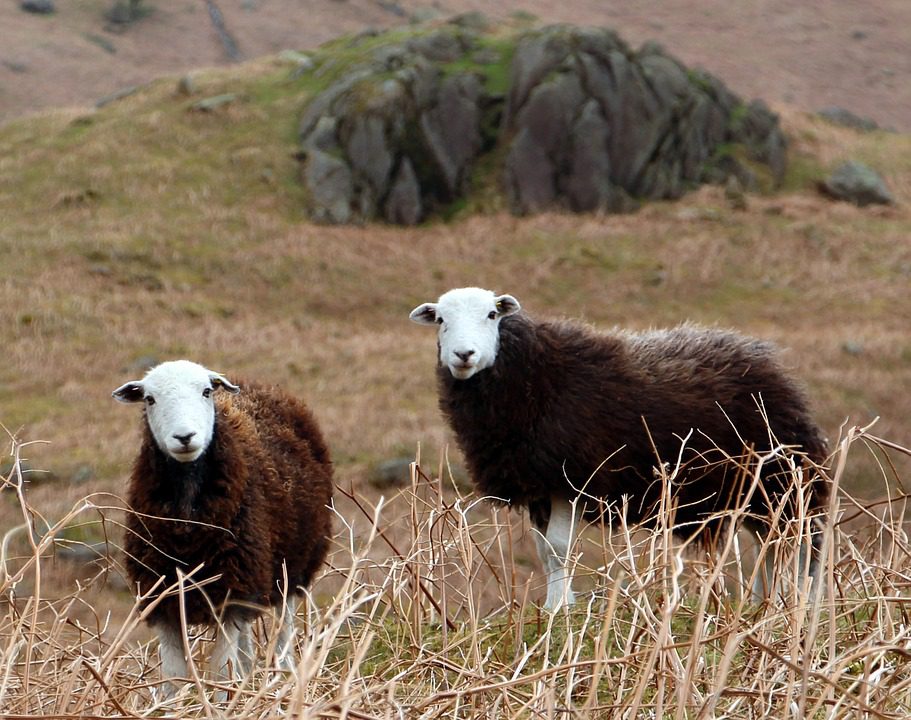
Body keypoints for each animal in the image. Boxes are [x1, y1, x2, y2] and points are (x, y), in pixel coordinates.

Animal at [112, 360, 333, 696]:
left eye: (206, 391)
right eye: (149, 399)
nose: (185, 436)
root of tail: (254, 384)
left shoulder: (232, 592)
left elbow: (219, 674)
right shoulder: (165, 598)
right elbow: (173, 679)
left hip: (290, 570)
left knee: (283, 633)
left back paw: (284, 679)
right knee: (245, 650)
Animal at [410, 287, 829, 610]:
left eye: (492, 314)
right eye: (441, 319)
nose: (464, 355)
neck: (533, 377)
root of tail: (769, 361)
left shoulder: (570, 477)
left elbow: (558, 547)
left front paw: (561, 609)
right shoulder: (538, 483)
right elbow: (544, 552)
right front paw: (554, 605)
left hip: (784, 478)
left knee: (799, 543)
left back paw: (800, 605)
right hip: (759, 489)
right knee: (771, 543)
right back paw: (762, 604)